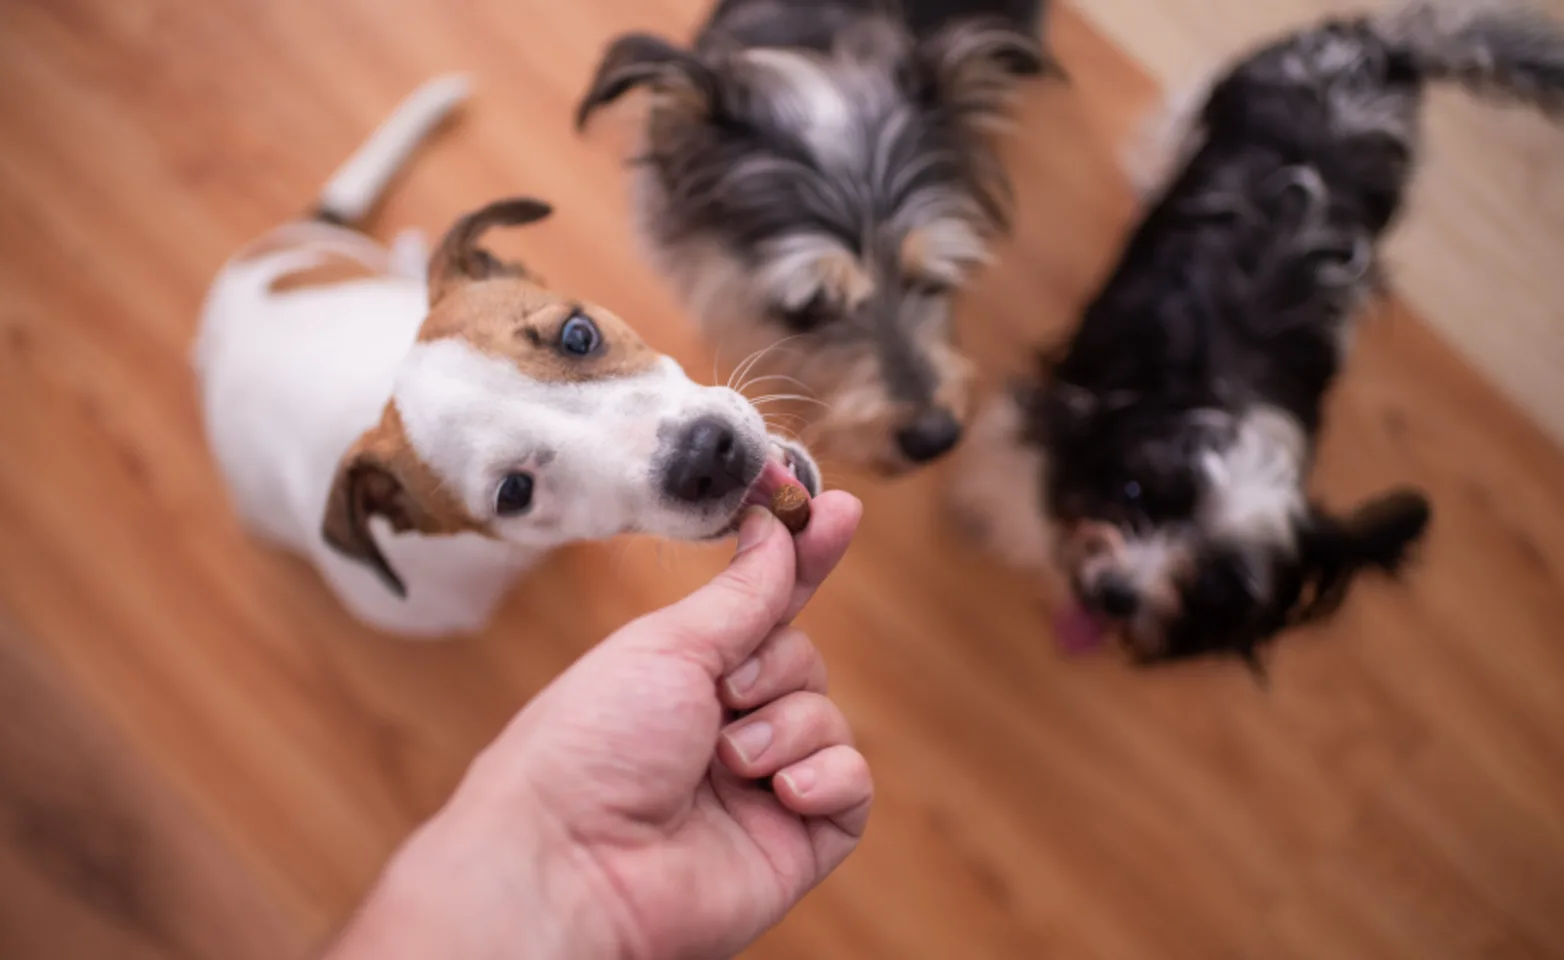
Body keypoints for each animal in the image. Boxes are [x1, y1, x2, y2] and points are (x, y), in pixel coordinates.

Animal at [950, 1, 1564, 669]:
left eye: (1214, 584)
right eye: (1136, 492)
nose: (1117, 594)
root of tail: (1378, 54)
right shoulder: (1070, 407)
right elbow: (1022, 466)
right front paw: (1001, 517)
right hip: (1234, 86)